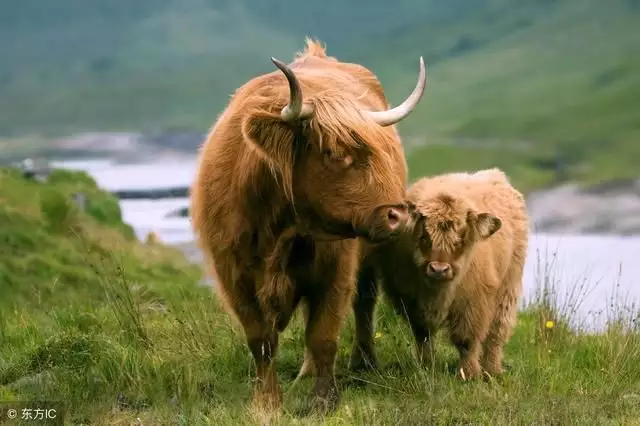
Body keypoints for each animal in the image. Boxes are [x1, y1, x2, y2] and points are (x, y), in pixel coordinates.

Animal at [191, 40, 430, 412]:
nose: (399, 216)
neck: (278, 230)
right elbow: (260, 339)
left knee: (364, 302)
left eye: (380, 151)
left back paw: (364, 362)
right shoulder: (232, 274)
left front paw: (325, 400)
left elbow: (323, 335)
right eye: (334, 153)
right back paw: (305, 371)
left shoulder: (336, 270)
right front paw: (267, 401)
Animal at [352, 168, 528, 378]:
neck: (437, 293)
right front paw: (426, 366)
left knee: (497, 332)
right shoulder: (409, 298)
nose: (439, 269)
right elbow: (423, 334)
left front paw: (468, 374)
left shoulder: (473, 302)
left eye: (460, 239)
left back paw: (492, 369)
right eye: (424, 236)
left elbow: (466, 341)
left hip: (509, 287)